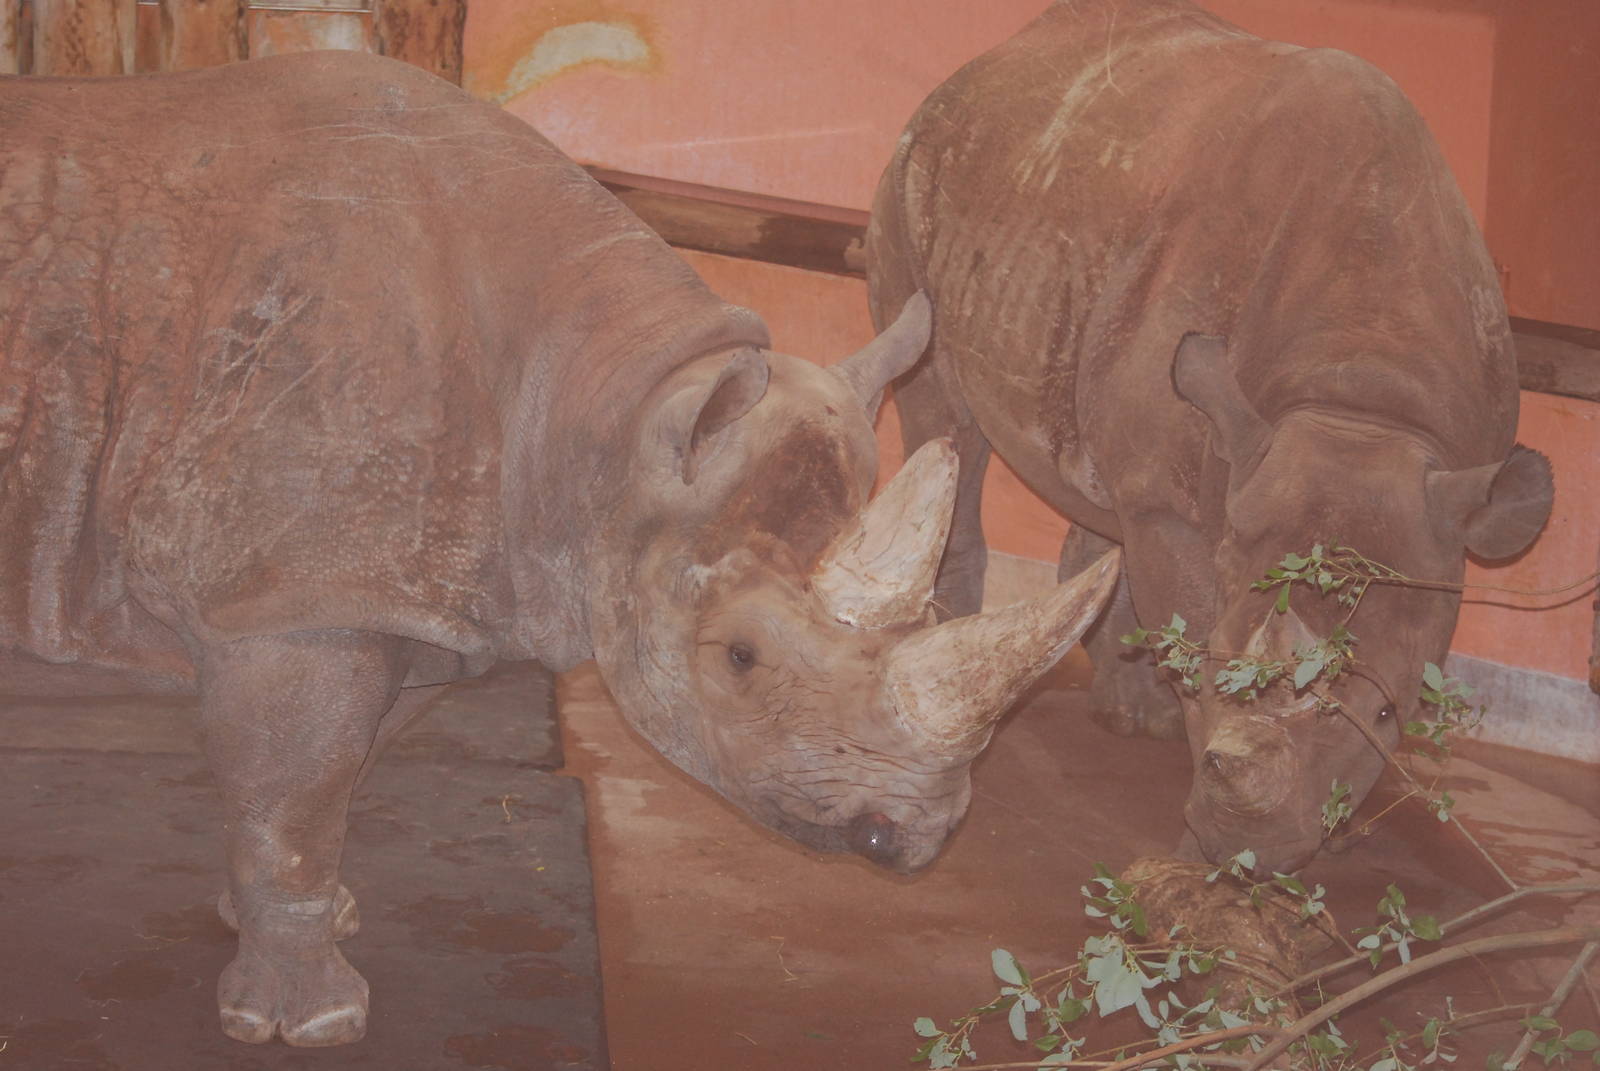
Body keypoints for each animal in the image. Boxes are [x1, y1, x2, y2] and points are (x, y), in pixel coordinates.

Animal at [0, 52, 1119, 1046]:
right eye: (739, 658)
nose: (916, 838)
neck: (607, 407)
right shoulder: (287, 595)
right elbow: (297, 799)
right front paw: (303, 1022)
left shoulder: (400, 590)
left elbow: (317, 789)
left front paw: (288, 922)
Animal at [866, 0, 1553, 877]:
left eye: (1387, 714)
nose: (1248, 853)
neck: (1363, 399)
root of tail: (983, 67)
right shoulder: (1191, 494)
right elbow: (1191, 619)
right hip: (913, 174)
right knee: (944, 412)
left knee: (1096, 476)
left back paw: (1120, 710)